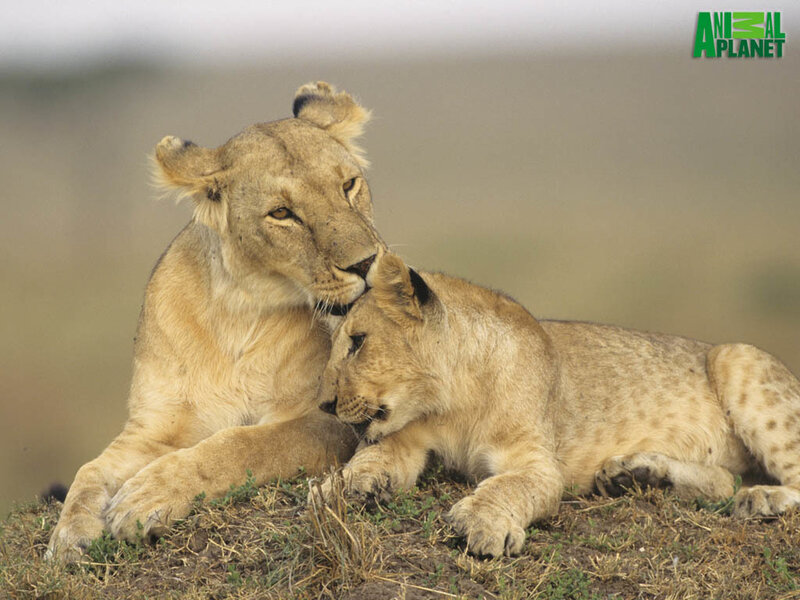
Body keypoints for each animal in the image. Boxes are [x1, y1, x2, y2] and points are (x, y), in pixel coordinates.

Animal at [46, 82, 384, 562]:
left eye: (349, 185)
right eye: (282, 214)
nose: (367, 263)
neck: (241, 312)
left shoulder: (336, 419)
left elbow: (246, 443)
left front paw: (147, 496)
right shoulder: (153, 428)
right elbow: (89, 469)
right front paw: (69, 535)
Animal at [311, 252, 800, 557]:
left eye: (358, 342)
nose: (325, 404)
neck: (451, 405)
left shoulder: (540, 463)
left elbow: (508, 486)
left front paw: (482, 524)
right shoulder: (407, 438)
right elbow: (374, 457)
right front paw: (339, 487)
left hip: (737, 356)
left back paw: (762, 500)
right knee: (723, 482)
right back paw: (636, 474)